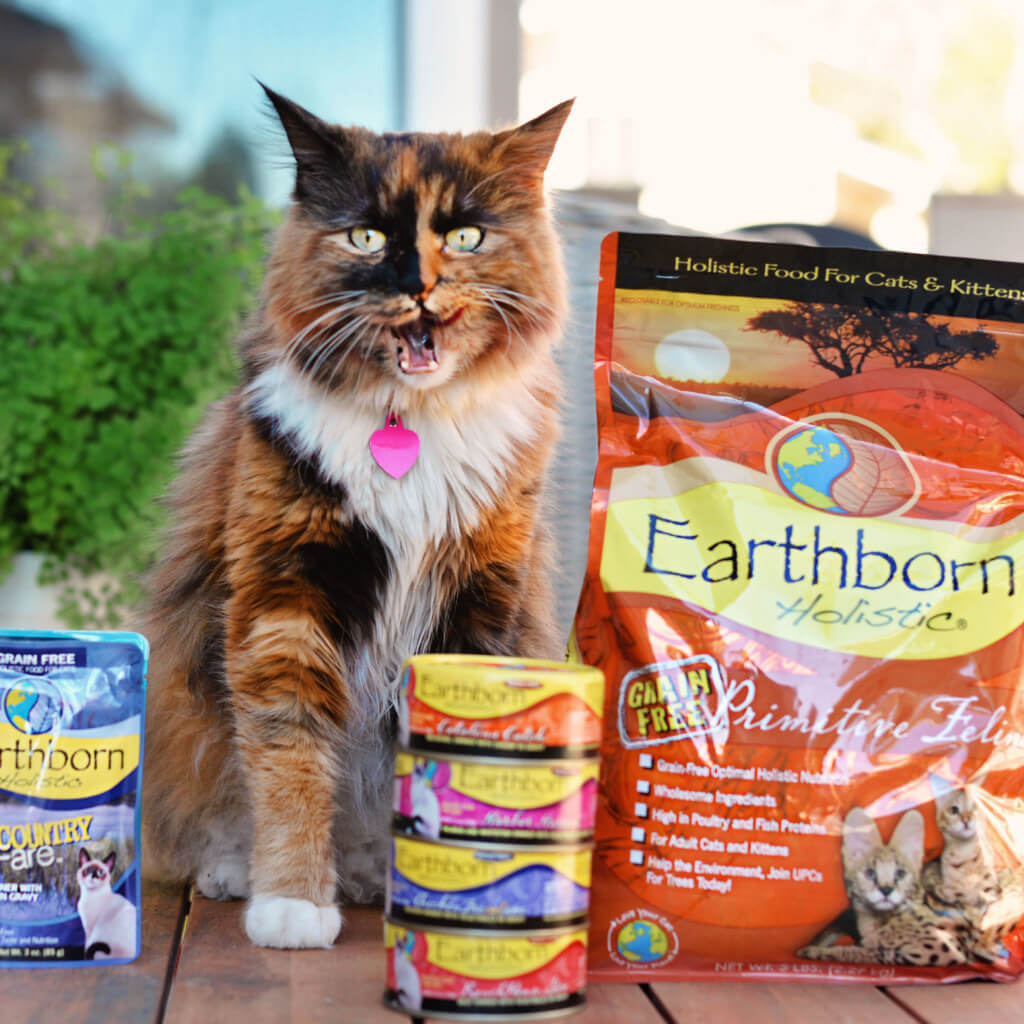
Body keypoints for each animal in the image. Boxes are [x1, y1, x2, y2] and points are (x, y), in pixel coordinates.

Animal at [142, 88, 577, 950]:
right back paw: (241, 872)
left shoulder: (478, 594)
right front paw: (292, 902)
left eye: (466, 235)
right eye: (366, 236)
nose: (419, 286)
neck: (409, 424)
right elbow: (289, 752)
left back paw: (376, 872)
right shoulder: (287, 591)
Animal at [794, 806, 970, 966]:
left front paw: (817, 951)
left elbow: (868, 952)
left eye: (900, 873)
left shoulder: (939, 951)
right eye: (870, 873)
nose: (886, 890)